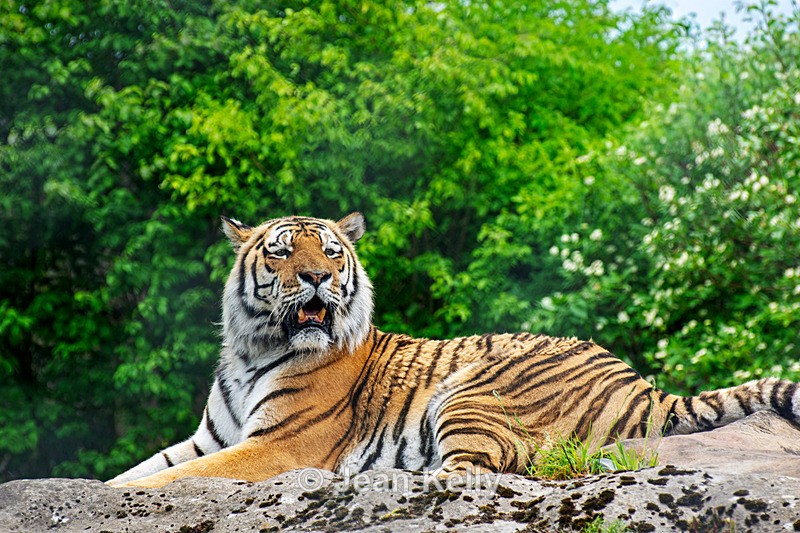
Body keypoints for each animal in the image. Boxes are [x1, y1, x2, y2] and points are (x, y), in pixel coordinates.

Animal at [107, 212, 800, 488]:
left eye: (331, 252)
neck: (253, 348)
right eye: (280, 252)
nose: (317, 278)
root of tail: (643, 382)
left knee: (484, 469)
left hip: (470, 393)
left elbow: (172, 478)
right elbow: (142, 469)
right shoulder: (211, 438)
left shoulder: (277, 445)